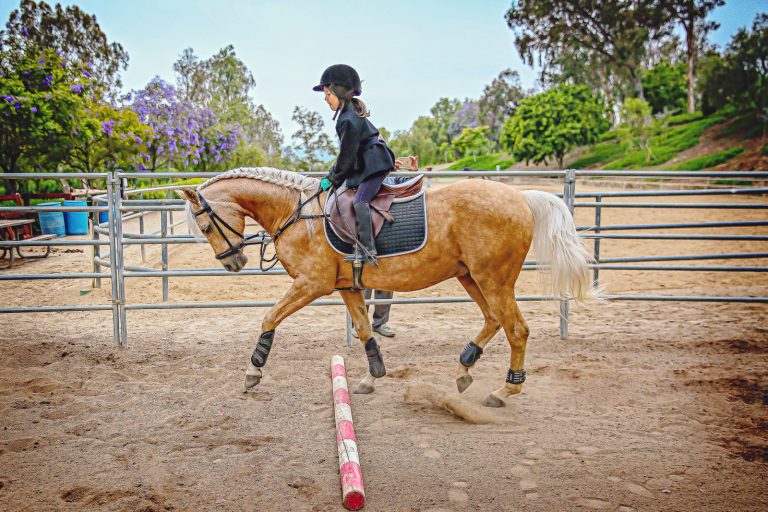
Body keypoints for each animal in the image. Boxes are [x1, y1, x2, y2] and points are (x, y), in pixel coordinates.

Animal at [176, 167, 595, 407]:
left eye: (206, 226)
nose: (233, 262)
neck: (298, 213)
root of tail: (520, 196)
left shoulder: (312, 284)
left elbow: (269, 318)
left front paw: (253, 372)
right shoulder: (346, 287)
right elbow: (364, 330)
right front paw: (371, 377)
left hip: (494, 279)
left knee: (517, 330)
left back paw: (504, 390)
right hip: (471, 277)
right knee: (493, 321)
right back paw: (465, 367)